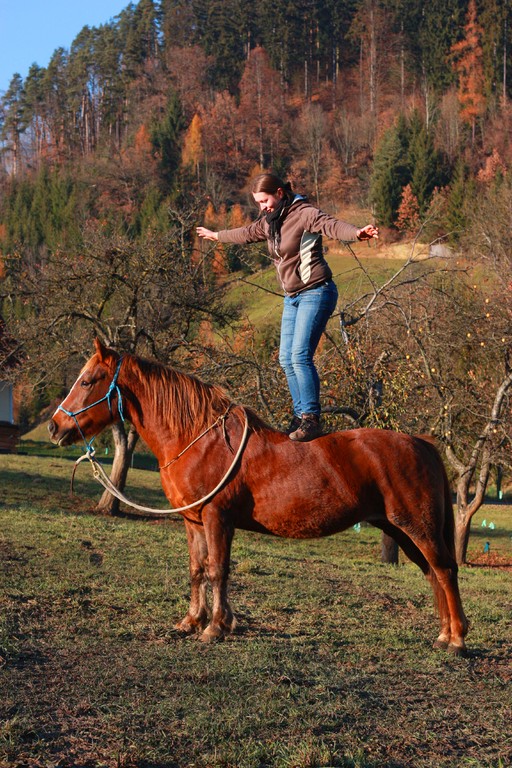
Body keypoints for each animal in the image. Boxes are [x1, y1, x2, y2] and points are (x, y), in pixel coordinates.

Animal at [48, 340, 468, 656]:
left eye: (88, 381)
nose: (55, 425)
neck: (198, 438)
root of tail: (420, 442)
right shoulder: (193, 520)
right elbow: (198, 569)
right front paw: (193, 621)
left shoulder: (217, 517)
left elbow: (218, 570)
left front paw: (215, 627)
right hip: (402, 531)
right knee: (433, 572)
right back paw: (444, 634)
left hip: (418, 527)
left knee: (445, 570)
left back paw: (457, 640)